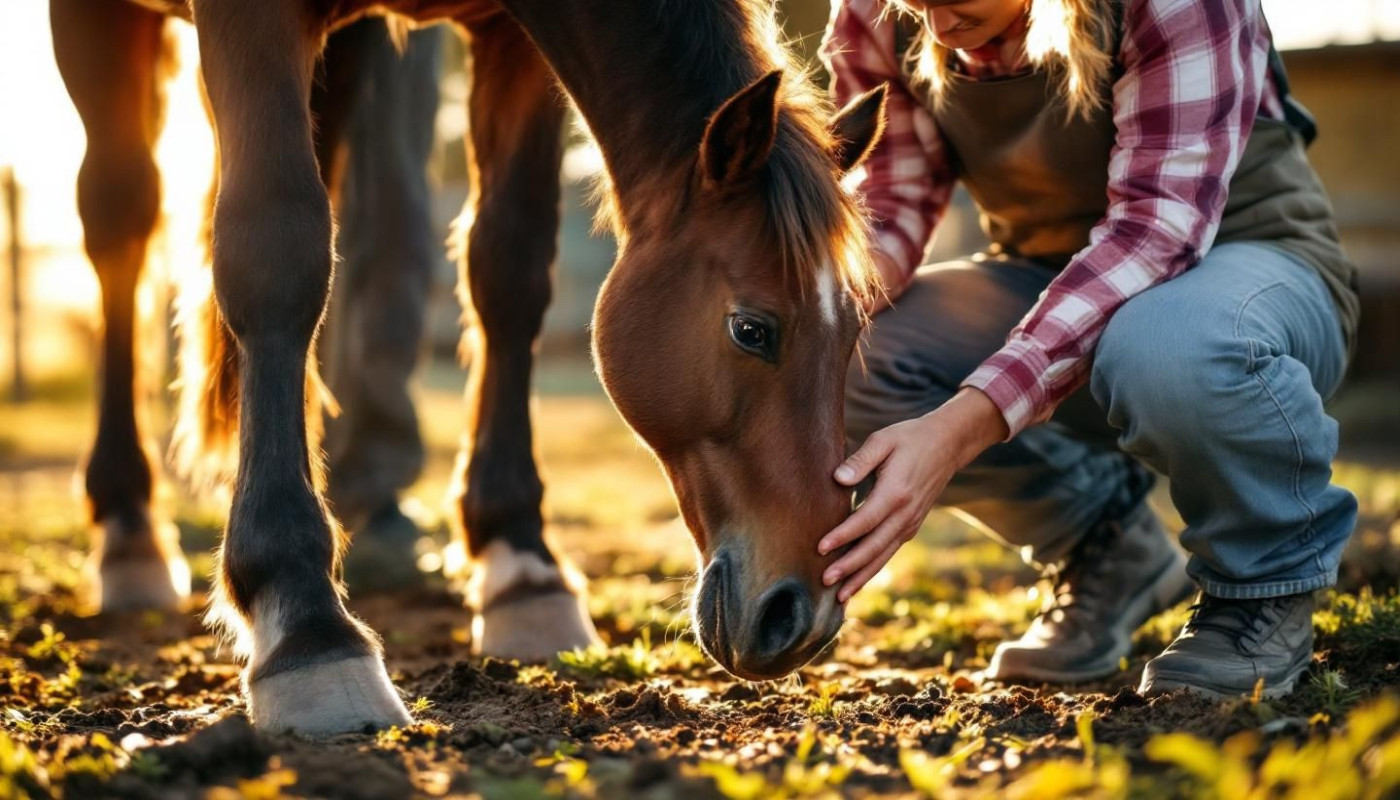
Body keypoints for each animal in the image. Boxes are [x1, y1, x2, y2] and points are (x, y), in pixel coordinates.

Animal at [50, 0, 887, 735]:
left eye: (856, 332)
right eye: (752, 330)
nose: (801, 616)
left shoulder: (510, 40)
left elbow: (508, 268)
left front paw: (521, 561)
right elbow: (278, 250)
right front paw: (305, 619)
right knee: (120, 223)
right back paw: (130, 530)